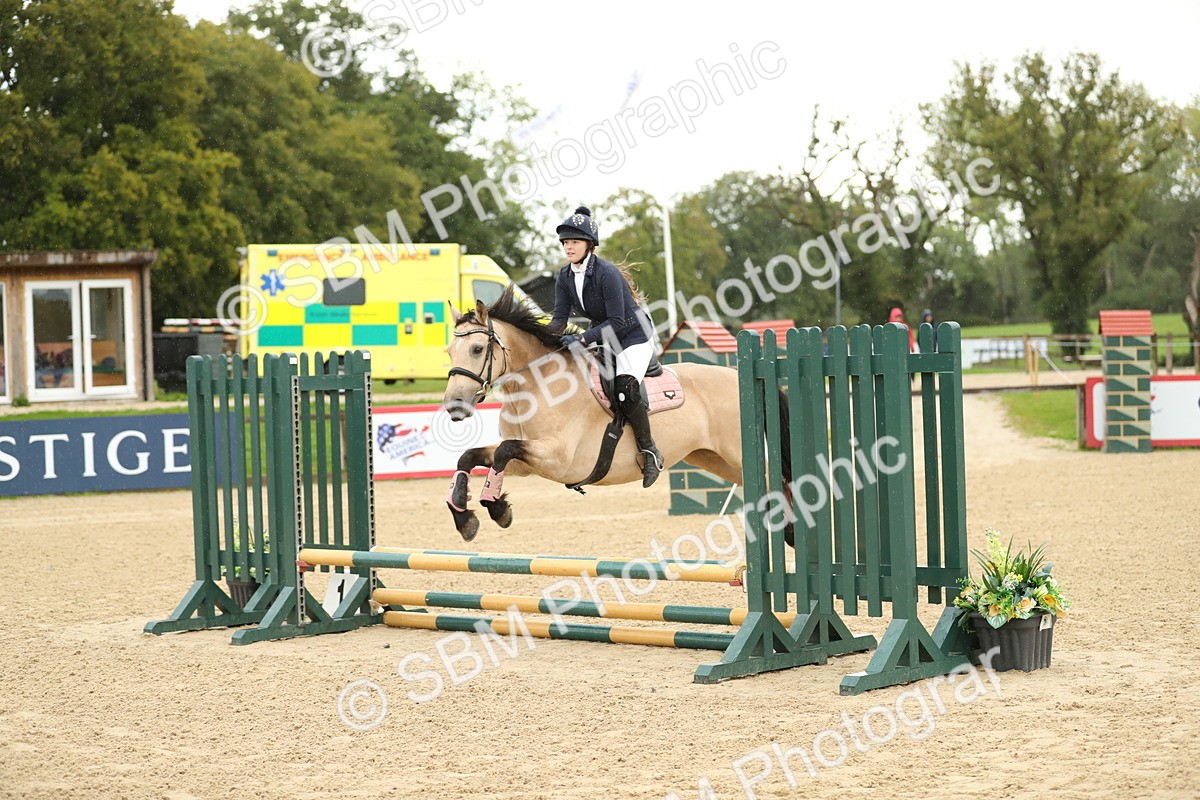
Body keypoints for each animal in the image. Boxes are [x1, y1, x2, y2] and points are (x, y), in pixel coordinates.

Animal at [441, 285, 791, 542]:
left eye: (477, 349)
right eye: (449, 352)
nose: (454, 405)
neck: (538, 388)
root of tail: (739, 375)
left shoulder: (558, 458)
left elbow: (503, 450)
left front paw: (495, 506)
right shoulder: (528, 465)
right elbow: (471, 456)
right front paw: (466, 516)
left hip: (739, 454)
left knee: (782, 485)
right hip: (714, 459)